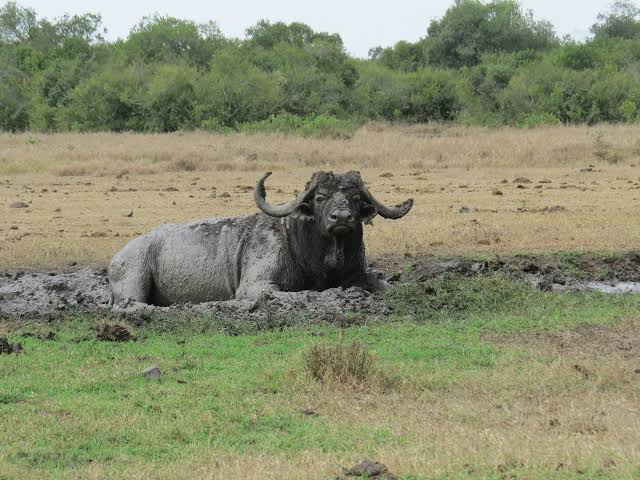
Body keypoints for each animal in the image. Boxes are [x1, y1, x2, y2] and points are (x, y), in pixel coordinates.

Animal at [108, 171, 413, 306]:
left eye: (355, 198)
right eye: (320, 197)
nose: (342, 218)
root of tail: (117, 258)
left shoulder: (358, 273)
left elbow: (380, 284)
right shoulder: (254, 287)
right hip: (133, 283)